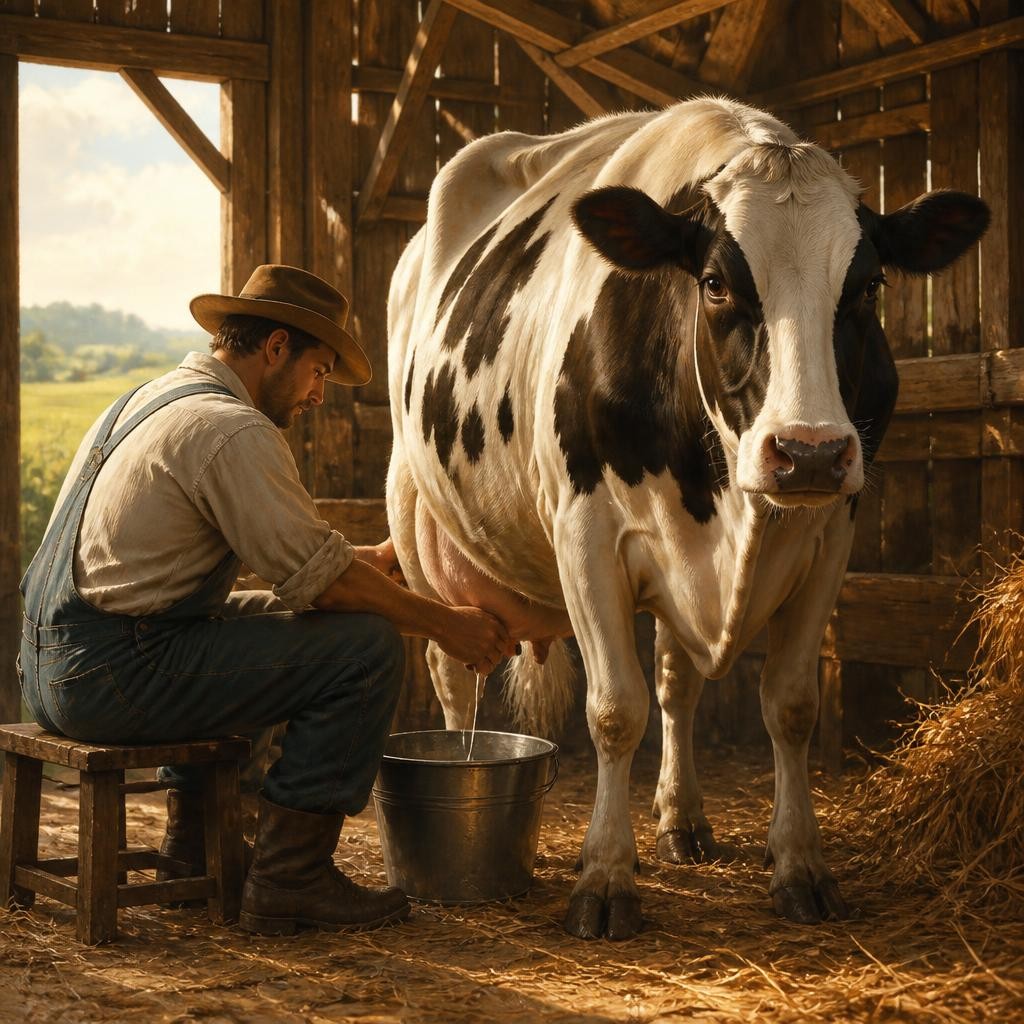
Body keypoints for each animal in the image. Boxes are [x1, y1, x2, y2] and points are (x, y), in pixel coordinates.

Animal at [385, 97, 989, 940]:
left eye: (868, 286)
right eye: (713, 282)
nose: (807, 452)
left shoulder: (830, 535)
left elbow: (790, 705)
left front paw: (800, 865)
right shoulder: (586, 535)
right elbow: (614, 710)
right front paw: (605, 877)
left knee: (677, 683)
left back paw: (683, 818)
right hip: (419, 522)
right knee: (450, 670)